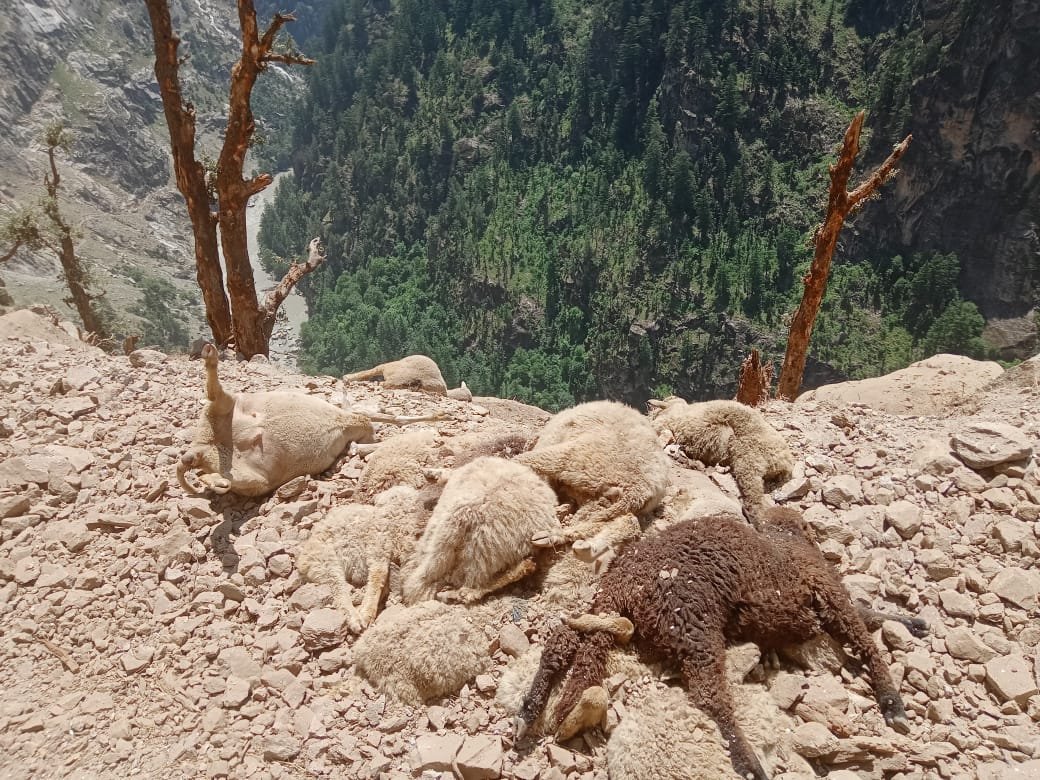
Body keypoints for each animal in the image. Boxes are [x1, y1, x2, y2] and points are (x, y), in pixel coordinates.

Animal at [177, 344, 438, 497]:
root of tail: (198, 450)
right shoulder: (358, 419)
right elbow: (388, 419)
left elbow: (382, 421)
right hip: (229, 420)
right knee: (216, 397)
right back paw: (210, 357)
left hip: (253, 472)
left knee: (229, 475)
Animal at [295, 485, 434, 634]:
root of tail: (301, 560)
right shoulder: (378, 546)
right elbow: (378, 577)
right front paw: (367, 613)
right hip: (325, 561)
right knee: (339, 591)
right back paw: (355, 620)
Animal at [515, 401, 670, 562]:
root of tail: (637, 491)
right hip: (602, 499)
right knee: (611, 521)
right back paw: (557, 538)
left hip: (577, 459)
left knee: (531, 459)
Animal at [516, 506, 925, 780]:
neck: (787, 539)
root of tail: (626, 579)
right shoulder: (826, 589)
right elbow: (865, 638)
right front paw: (893, 702)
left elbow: (865, 616)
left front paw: (911, 622)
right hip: (692, 621)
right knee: (711, 696)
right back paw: (749, 762)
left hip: (613, 609)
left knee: (564, 641)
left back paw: (531, 709)